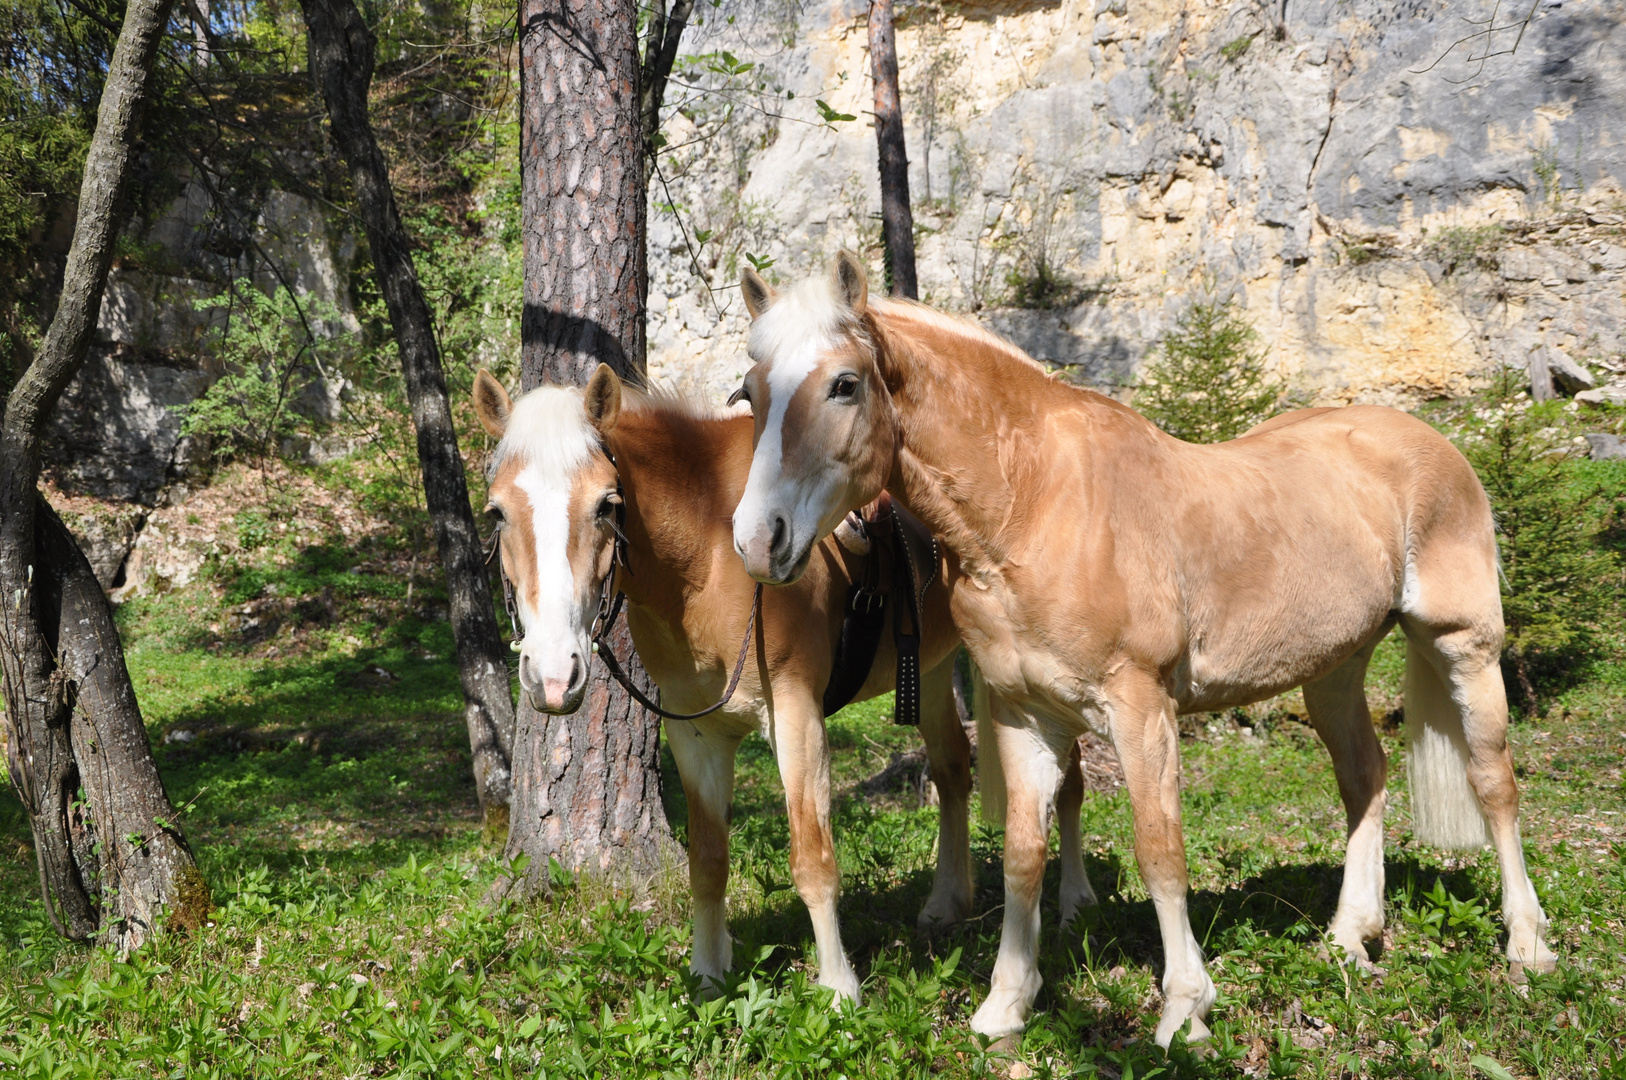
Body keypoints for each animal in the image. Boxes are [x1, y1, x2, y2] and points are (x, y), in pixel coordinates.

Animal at [471, 364, 1099, 1001]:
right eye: (496, 512)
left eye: (606, 504)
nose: (553, 675)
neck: (709, 552)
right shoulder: (696, 737)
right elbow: (708, 861)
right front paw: (708, 974)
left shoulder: (798, 716)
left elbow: (813, 860)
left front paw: (839, 989)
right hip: (930, 671)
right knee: (952, 771)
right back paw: (946, 902)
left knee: (1069, 784)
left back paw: (1077, 901)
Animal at [731, 250, 1554, 1047]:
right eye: (749, 392)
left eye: (843, 384)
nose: (757, 540)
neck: (1033, 506)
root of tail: (1432, 445)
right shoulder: (1025, 716)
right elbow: (1025, 855)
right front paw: (1006, 1005)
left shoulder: (1141, 710)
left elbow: (1160, 850)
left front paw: (1185, 1008)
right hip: (1334, 669)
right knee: (1364, 778)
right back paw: (1352, 935)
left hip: (1464, 648)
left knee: (1494, 783)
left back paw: (1528, 944)